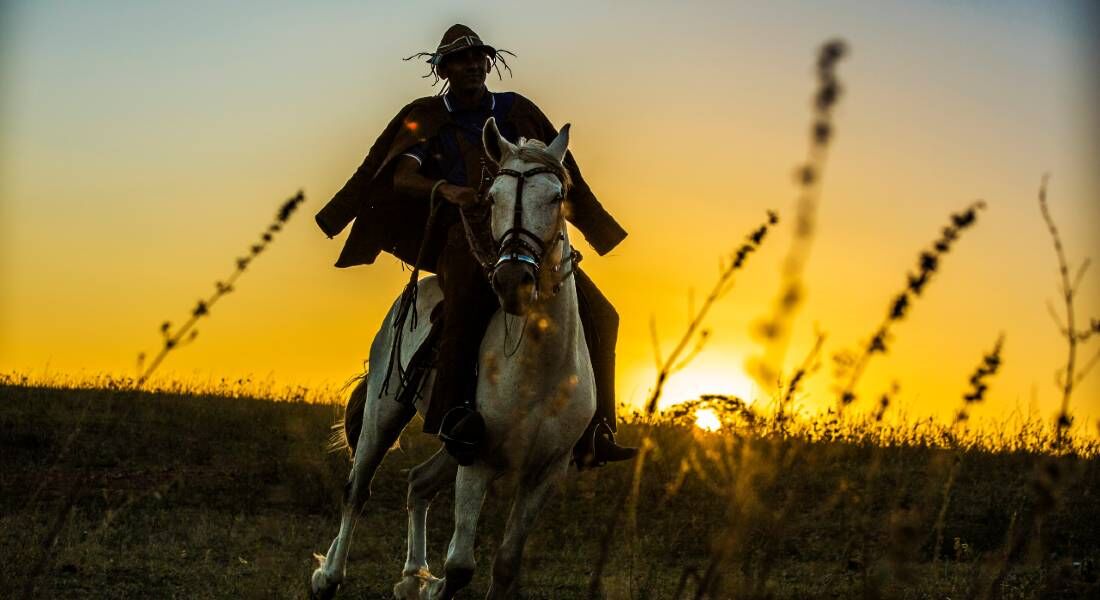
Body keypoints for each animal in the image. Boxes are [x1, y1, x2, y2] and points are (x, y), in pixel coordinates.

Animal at [310, 116, 598, 598]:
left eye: (556, 197)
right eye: (492, 197)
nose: (513, 281)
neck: (538, 372)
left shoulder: (545, 473)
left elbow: (506, 565)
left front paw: (425, 584)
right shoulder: (477, 460)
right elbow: (461, 565)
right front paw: (436, 584)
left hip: (450, 444)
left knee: (418, 483)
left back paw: (412, 577)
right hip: (385, 414)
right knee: (358, 489)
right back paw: (328, 577)